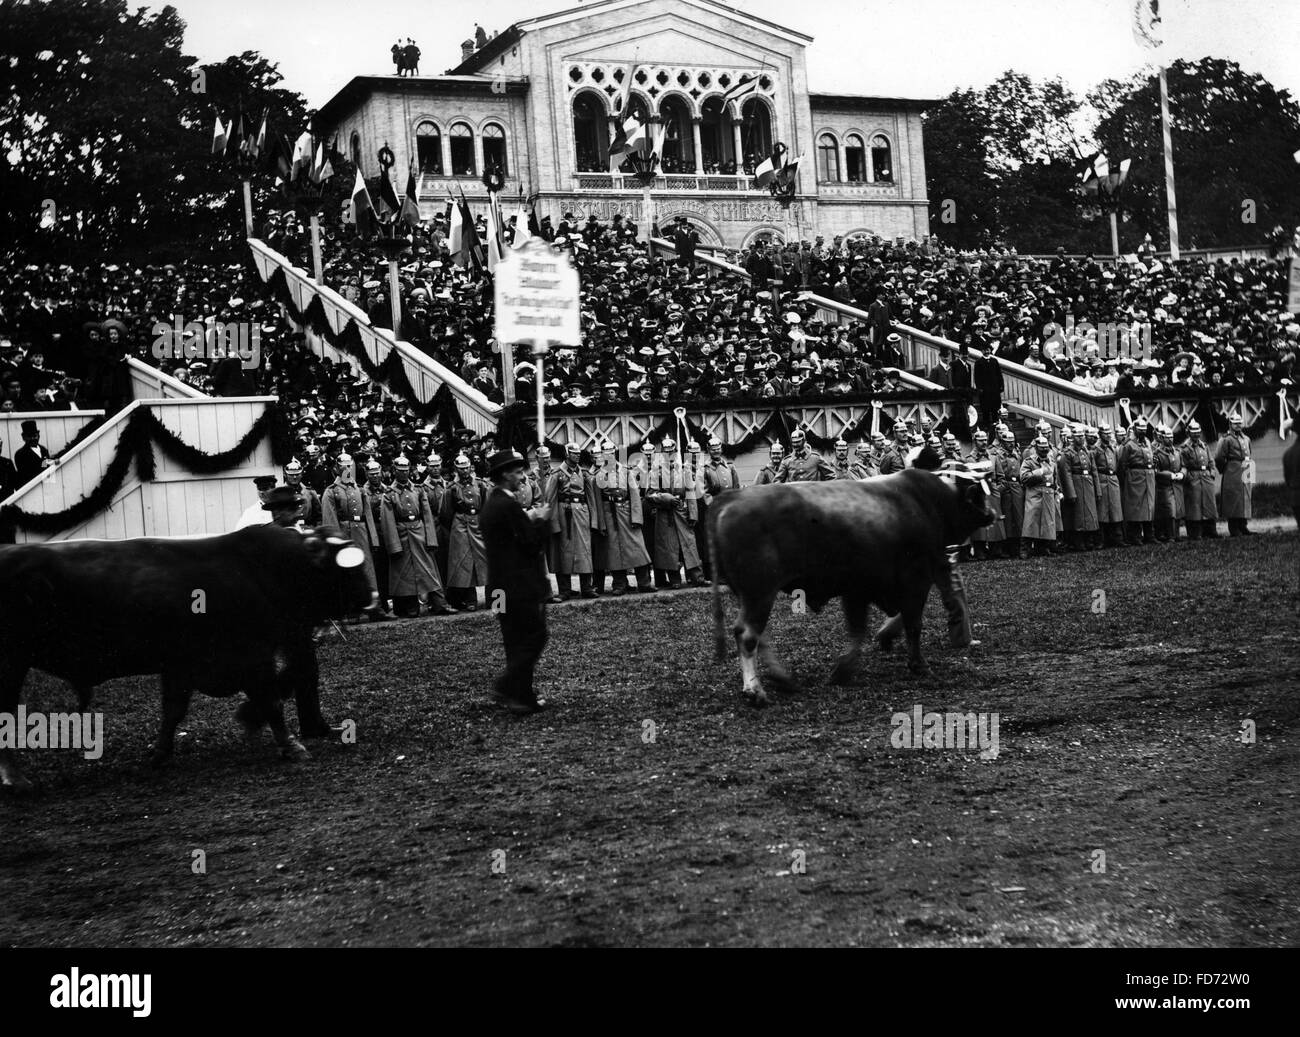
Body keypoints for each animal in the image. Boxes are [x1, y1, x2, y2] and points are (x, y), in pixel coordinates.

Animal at [707, 470, 987, 706]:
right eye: (980, 496)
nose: (993, 513)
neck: (924, 502)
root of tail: (732, 497)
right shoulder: (916, 580)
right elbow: (912, 623)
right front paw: (918, 664)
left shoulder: (858, 589)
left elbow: (860, 629)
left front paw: (845, 668)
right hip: (760, 593)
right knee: (747, 634)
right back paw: (755, 690)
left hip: (751, 595)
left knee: (753, 635)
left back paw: (781, 679)